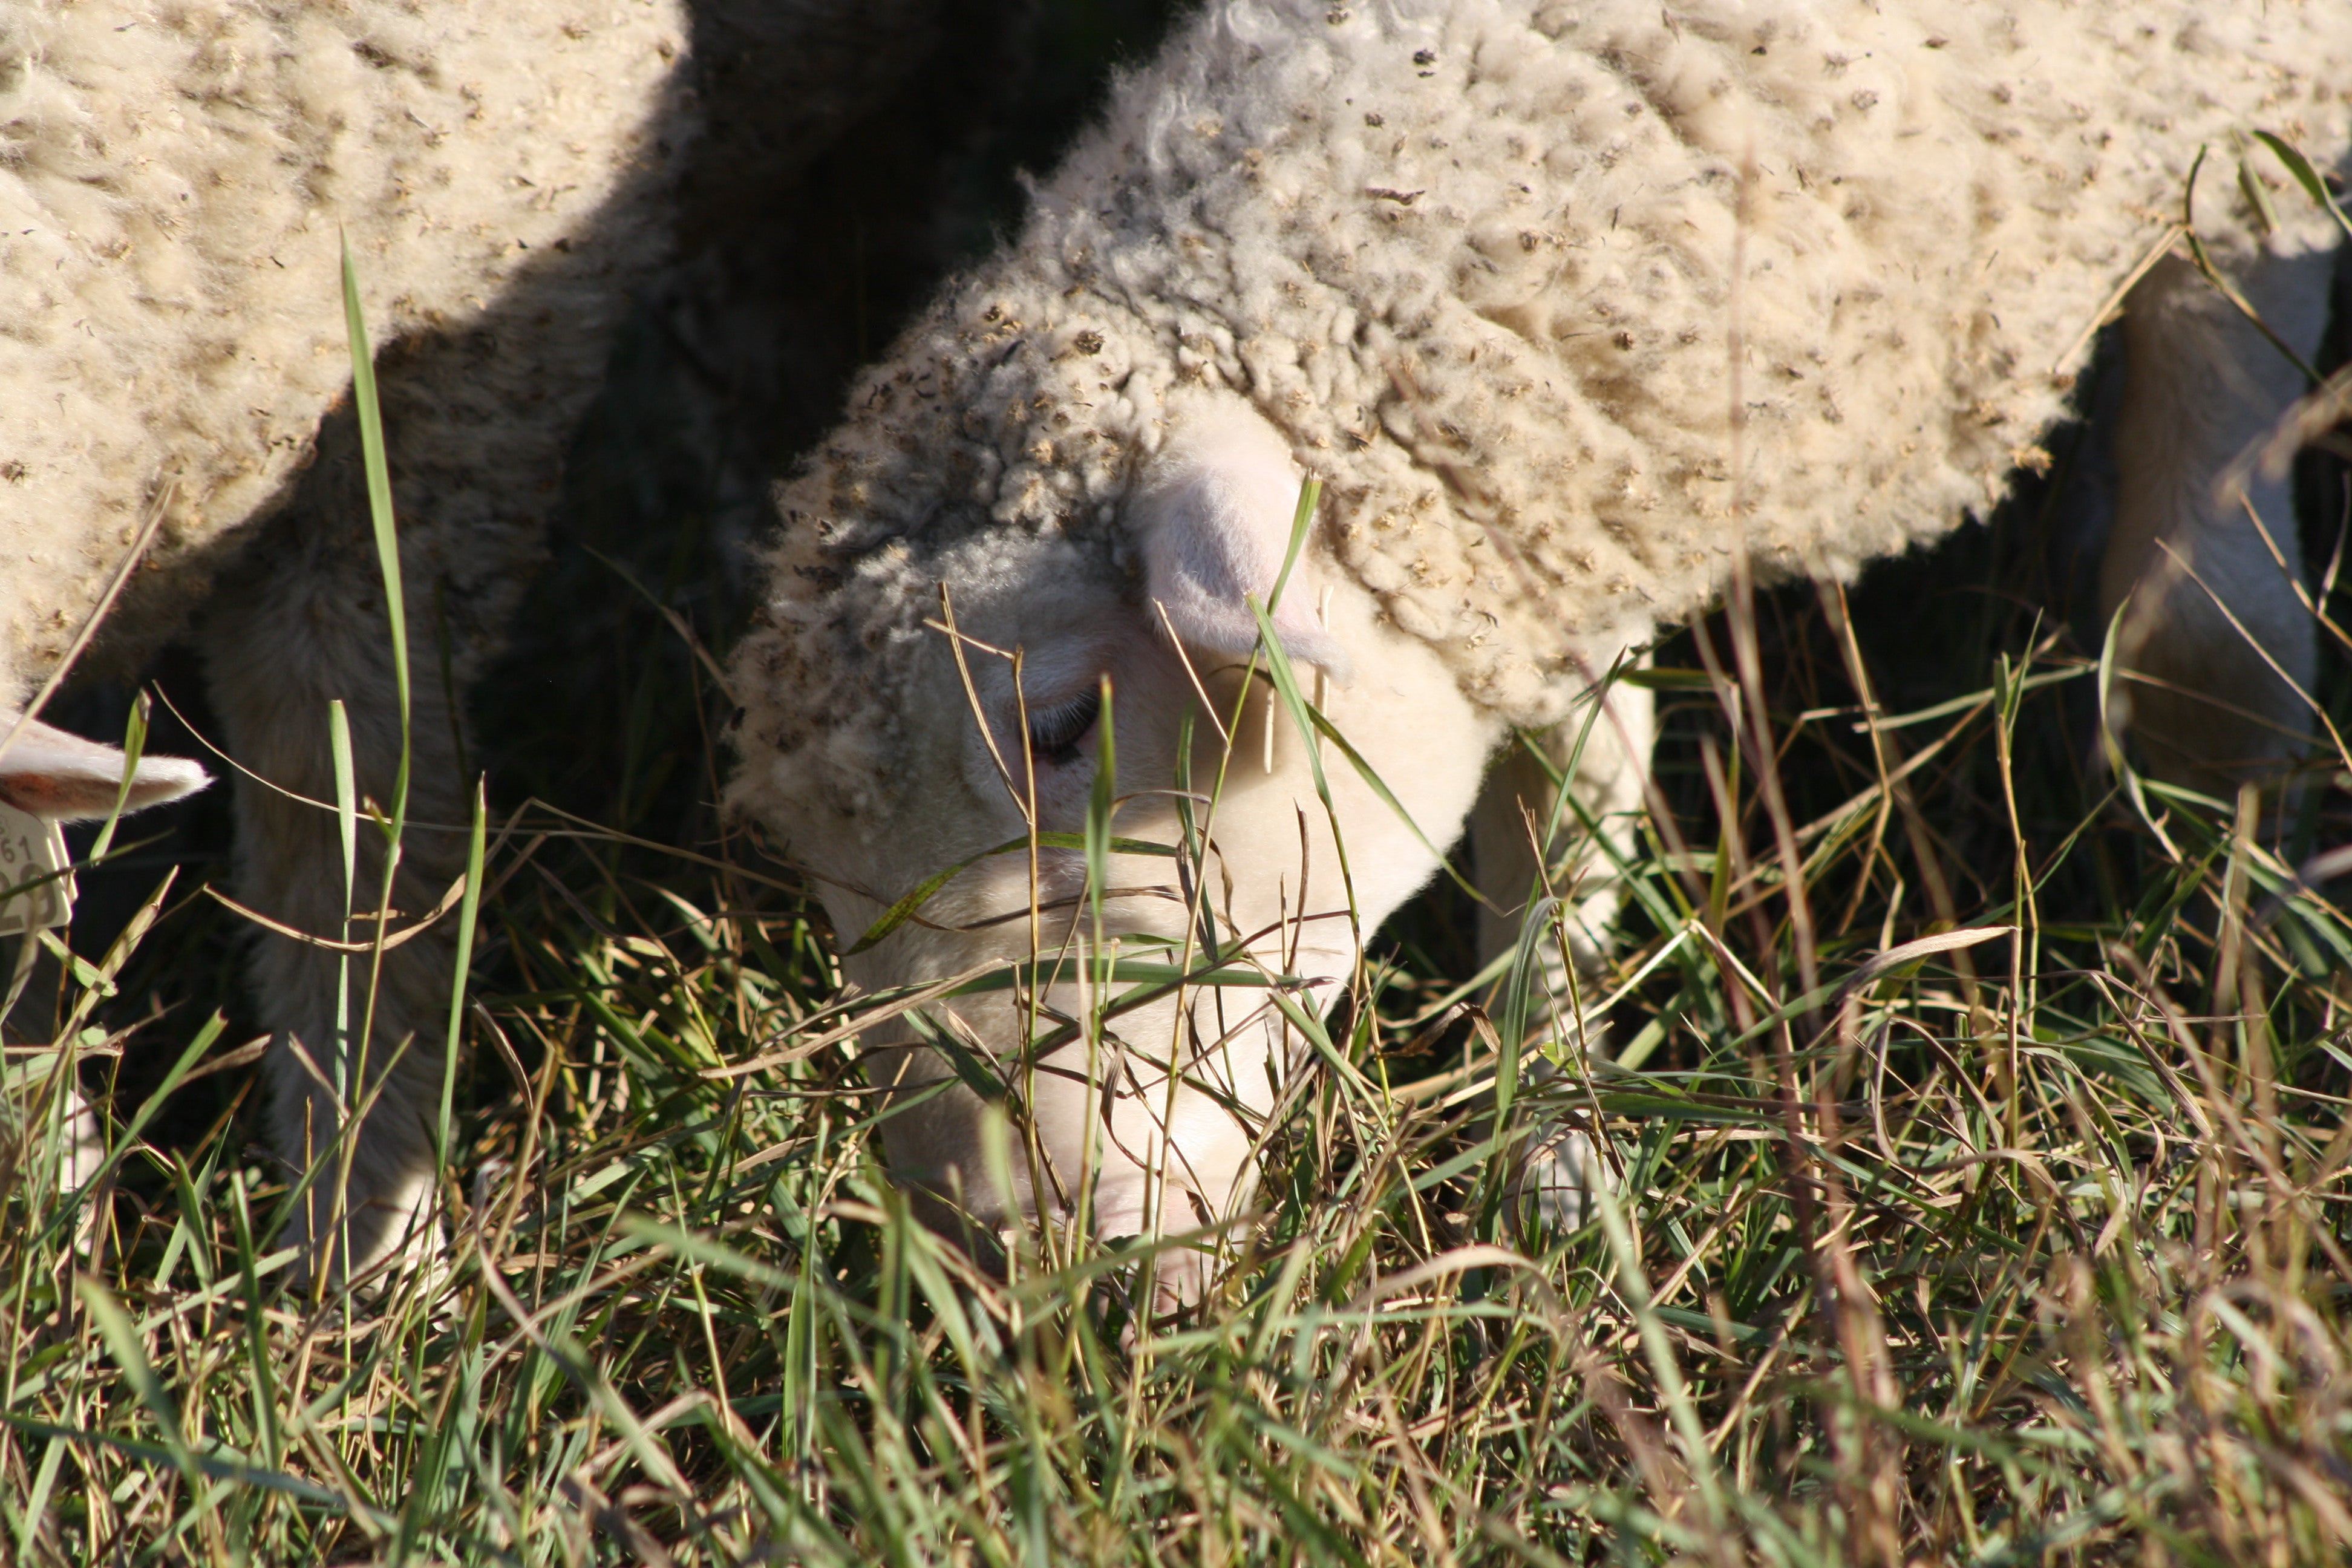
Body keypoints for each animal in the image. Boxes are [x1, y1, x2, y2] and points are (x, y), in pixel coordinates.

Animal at [725, 0, 2352, 1304]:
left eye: (1060, 725)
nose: (990, 1253)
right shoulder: (1546, 528)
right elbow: (1563, 819)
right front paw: (1554, 1154)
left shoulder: (2239, 156)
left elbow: (2208, 650)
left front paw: (2236, 964)